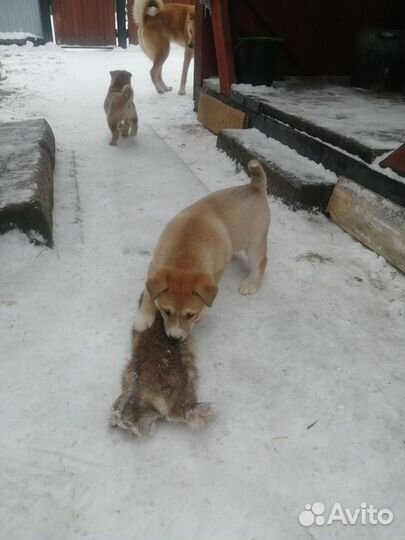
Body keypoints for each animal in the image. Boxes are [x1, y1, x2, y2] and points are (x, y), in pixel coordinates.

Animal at [134, 158, 270, 342]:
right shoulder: (154, 268)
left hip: (255, 243)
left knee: (261, 262)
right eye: (166, 311)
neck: (184, 258)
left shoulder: (217, 272)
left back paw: (251, 284)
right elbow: (149, 295)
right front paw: (143, 318)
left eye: (191, 315)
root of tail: (254, 186)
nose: (175, 338)